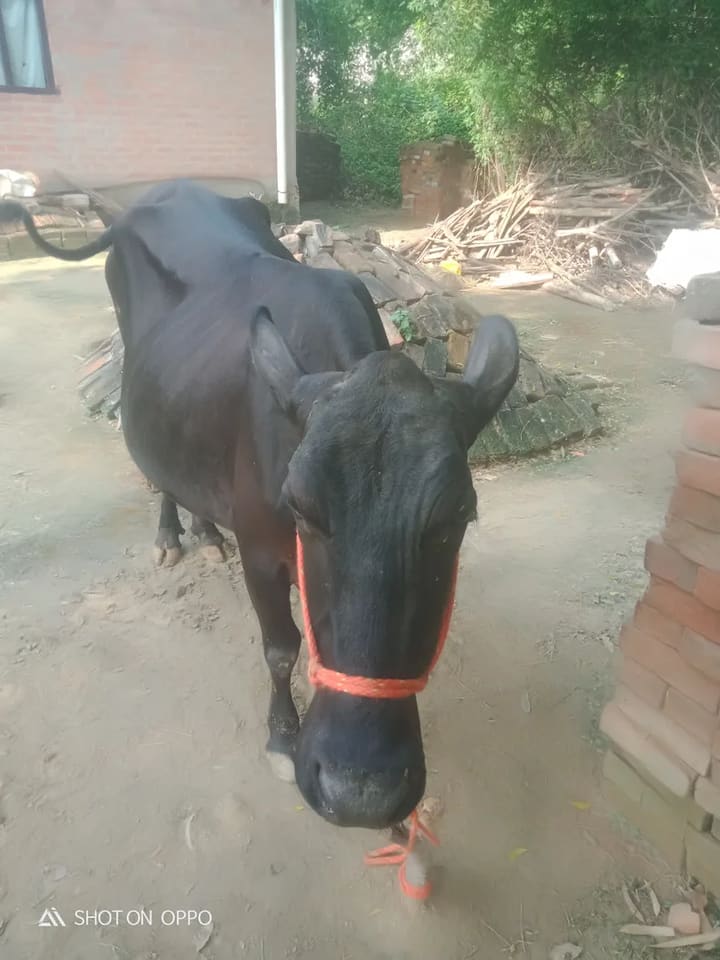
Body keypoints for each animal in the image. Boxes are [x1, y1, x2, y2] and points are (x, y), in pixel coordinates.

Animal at [2, 181, 519, 830]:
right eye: (300, 506)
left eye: (456, 518)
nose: (359, 792)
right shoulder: (261, 554)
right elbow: (280, 649)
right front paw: (281, 737)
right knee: (158, 464)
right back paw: (171, 536)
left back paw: (205, 532)